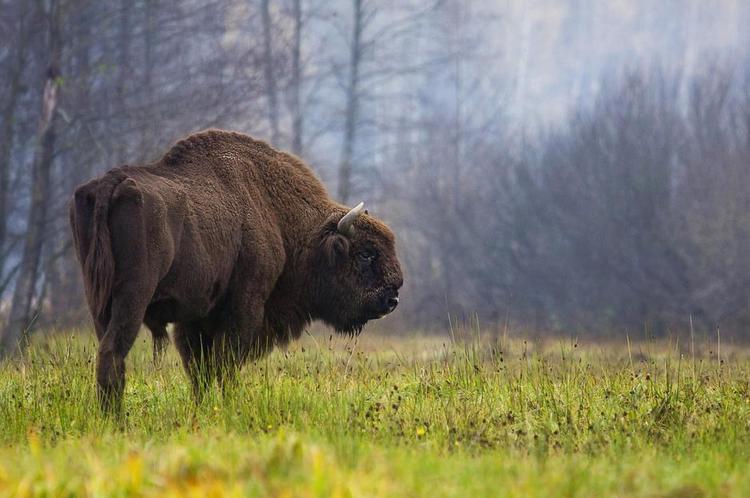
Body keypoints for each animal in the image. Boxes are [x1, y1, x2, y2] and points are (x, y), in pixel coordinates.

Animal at [69, 129, 403, 410]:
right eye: (366, 253)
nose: (392, 298)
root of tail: (109, 184)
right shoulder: (243, 308)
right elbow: (225, 365)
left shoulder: (194, 319)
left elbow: (200, 370)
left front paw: (203, 409)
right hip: (133, 298)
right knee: (113, 352)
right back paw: (117, 420)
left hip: (97, 300)